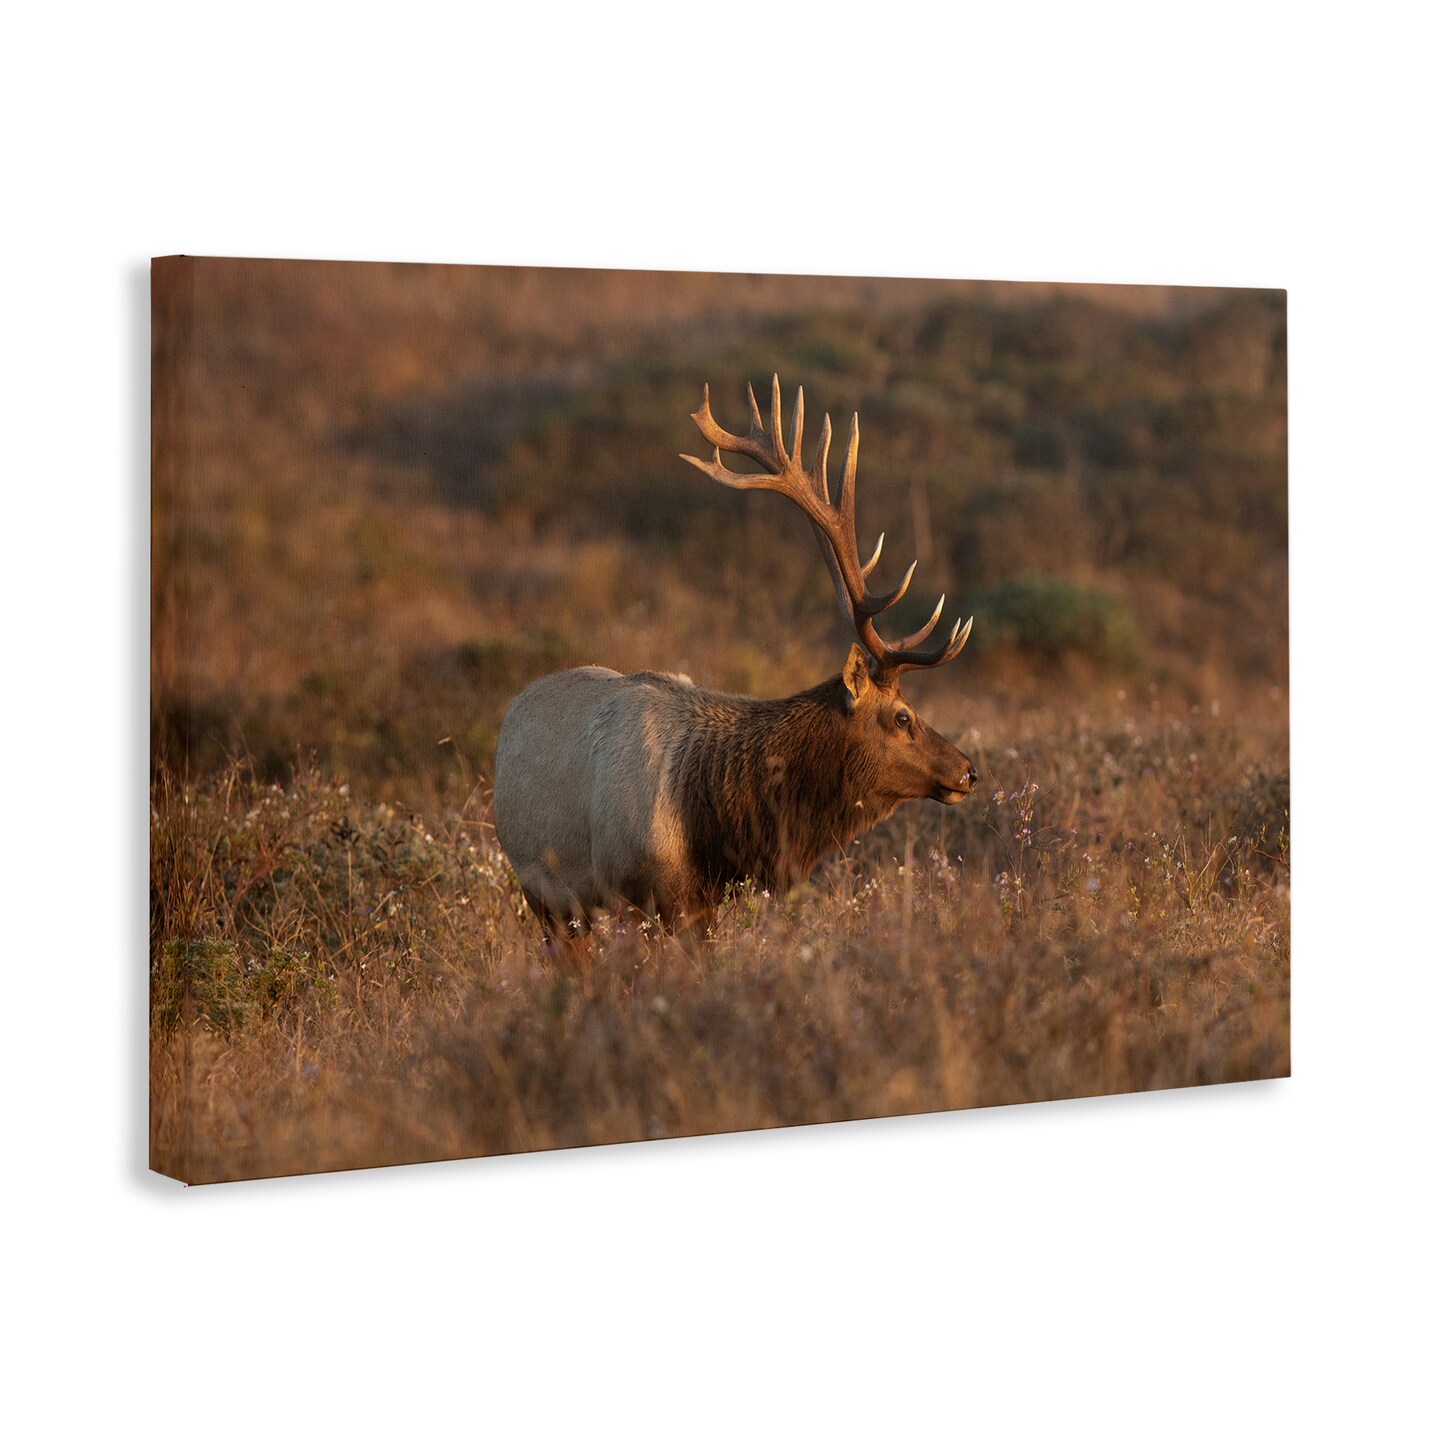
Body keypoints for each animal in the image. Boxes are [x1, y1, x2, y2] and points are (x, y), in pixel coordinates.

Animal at [492, 377, 979, 937]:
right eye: (902, 716)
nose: (969, 771)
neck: (710, 827)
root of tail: (512, 711)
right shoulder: (642, 896)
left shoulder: (701, 905)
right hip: (545, 896)